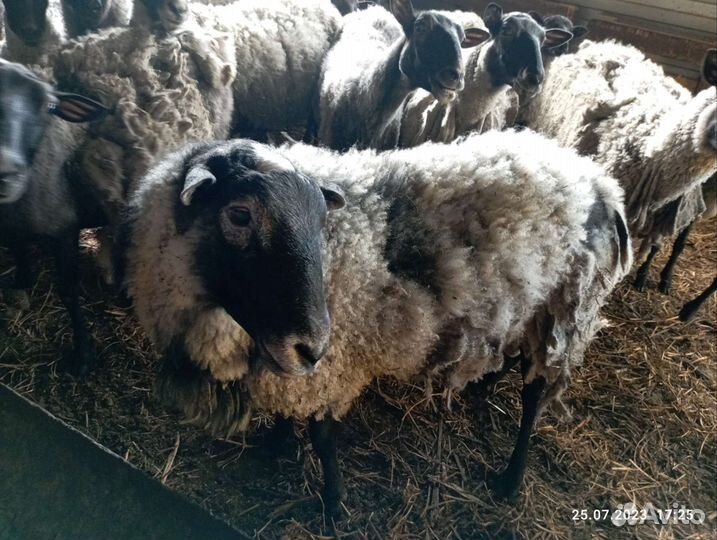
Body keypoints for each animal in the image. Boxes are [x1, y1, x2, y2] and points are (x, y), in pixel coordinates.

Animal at [0, 59, 109, 373]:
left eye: (49, 106)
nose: (4, 171)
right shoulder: (11, 227)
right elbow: (17, 247)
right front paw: (23, 279)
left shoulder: (64, 231)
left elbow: (69, 291)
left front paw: (83, 356)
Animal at [125, 130, 632, 518]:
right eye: (239, 214)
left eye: (321, 221)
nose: (312, 346)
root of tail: (598, 180)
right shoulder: (295, 366)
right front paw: (279, 444)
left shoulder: (334, 365)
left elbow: (323, 439)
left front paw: (333, 505)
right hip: (523, 307)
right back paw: (483, 390)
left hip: (564, 312)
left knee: (534, 395)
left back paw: (510, 478)